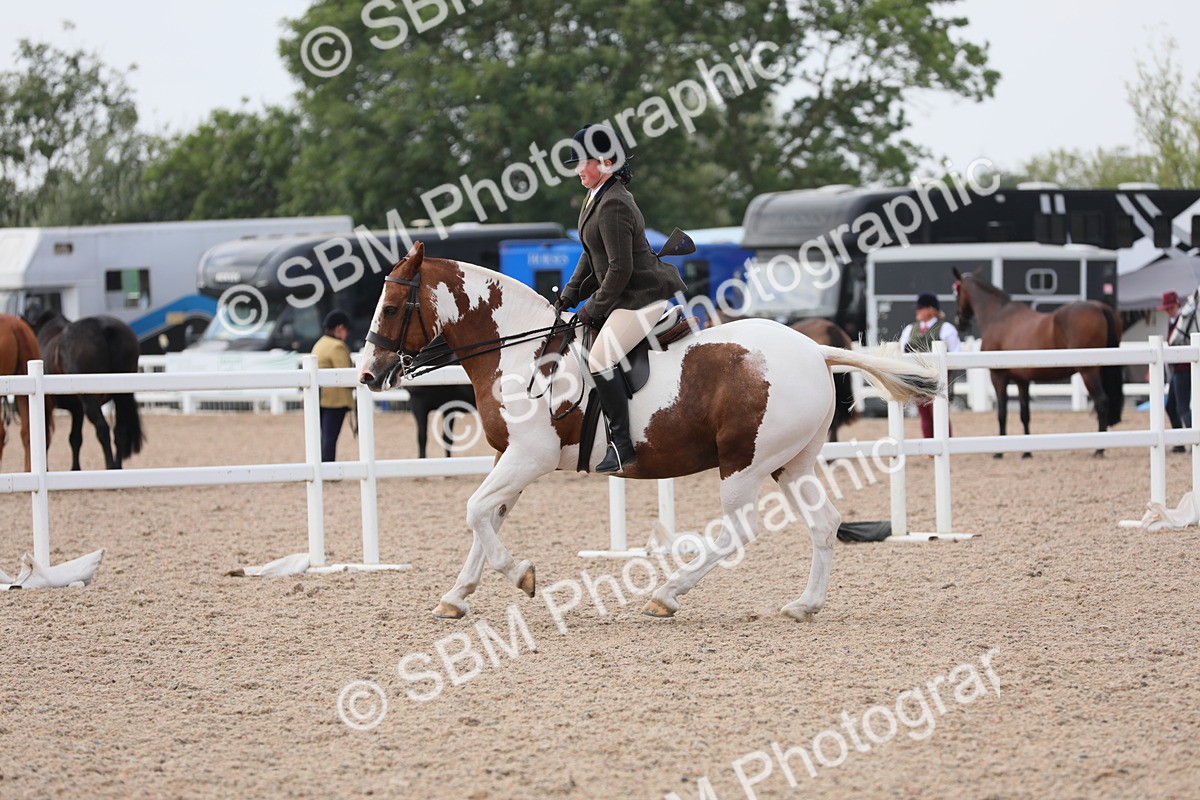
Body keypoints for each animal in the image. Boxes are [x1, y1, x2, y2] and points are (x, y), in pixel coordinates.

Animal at [31, 311, 144, 470]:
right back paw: (117, 466)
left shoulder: (50, 407)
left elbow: (48, 437)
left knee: (103, 429)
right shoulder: (77, 409)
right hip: (121, 396)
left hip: (90, 401)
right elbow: (75, 438)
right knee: (120, 430)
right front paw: (75, 468)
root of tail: (104, 328)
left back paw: (110, 465)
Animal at [358, 242, 940, 621]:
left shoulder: (530, 457)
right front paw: (457, 596)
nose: (367, 374)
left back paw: (667, 594)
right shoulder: (510, 459)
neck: (520, 352)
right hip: (789, 462)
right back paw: (805, 605)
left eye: (392, 306)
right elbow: (486, 517)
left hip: (743, 462)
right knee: (824, 524)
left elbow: (476, 511)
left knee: (740, 529)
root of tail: (814, 349)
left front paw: (521, 575)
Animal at [952, 267, 1124, 457]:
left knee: (1101, 402)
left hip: (1089, 372)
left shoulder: (998, 376)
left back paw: (1099, 449)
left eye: (957, 293)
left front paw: (999, 452)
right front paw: (1027, 452)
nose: (959, 322)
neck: (997, 316)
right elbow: (1024, 413)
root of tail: (1100, 307)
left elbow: (1002, 412)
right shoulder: (1022, 380)